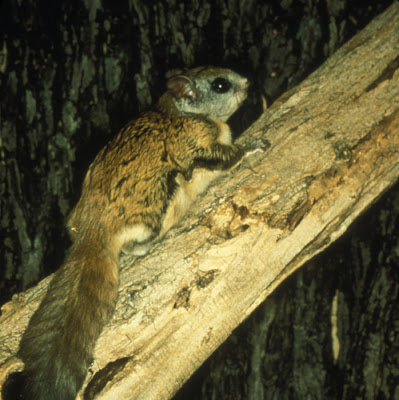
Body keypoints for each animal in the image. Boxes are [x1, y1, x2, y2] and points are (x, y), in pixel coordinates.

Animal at [18, 66, 250, 400]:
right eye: (221, 85)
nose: (247, 83)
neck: (180, 111)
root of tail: (93, 232)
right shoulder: (200, 143)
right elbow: (226, 156)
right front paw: (254, 145)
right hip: (159, 198)